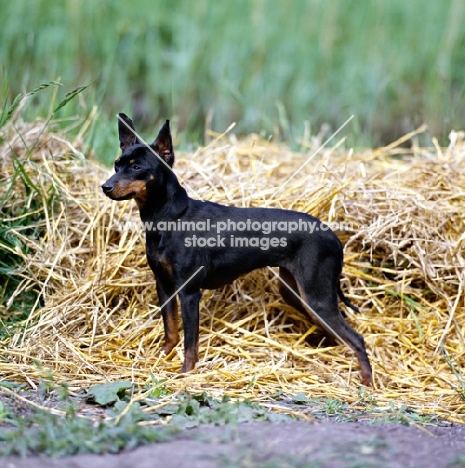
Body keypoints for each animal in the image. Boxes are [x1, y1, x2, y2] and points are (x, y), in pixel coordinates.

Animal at [103, 113, 372, 384]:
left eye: (136, 168)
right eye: (117, 165)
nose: (105, 187)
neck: (170, 217)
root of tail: (334, 237)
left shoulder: (189, 292)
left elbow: (190, 343)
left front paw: (186, 374)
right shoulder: (165, 285)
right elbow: (171, 331)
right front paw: (163, 359)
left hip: (317, 297)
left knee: (357, 339)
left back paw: (367, 384)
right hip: (297, 293)